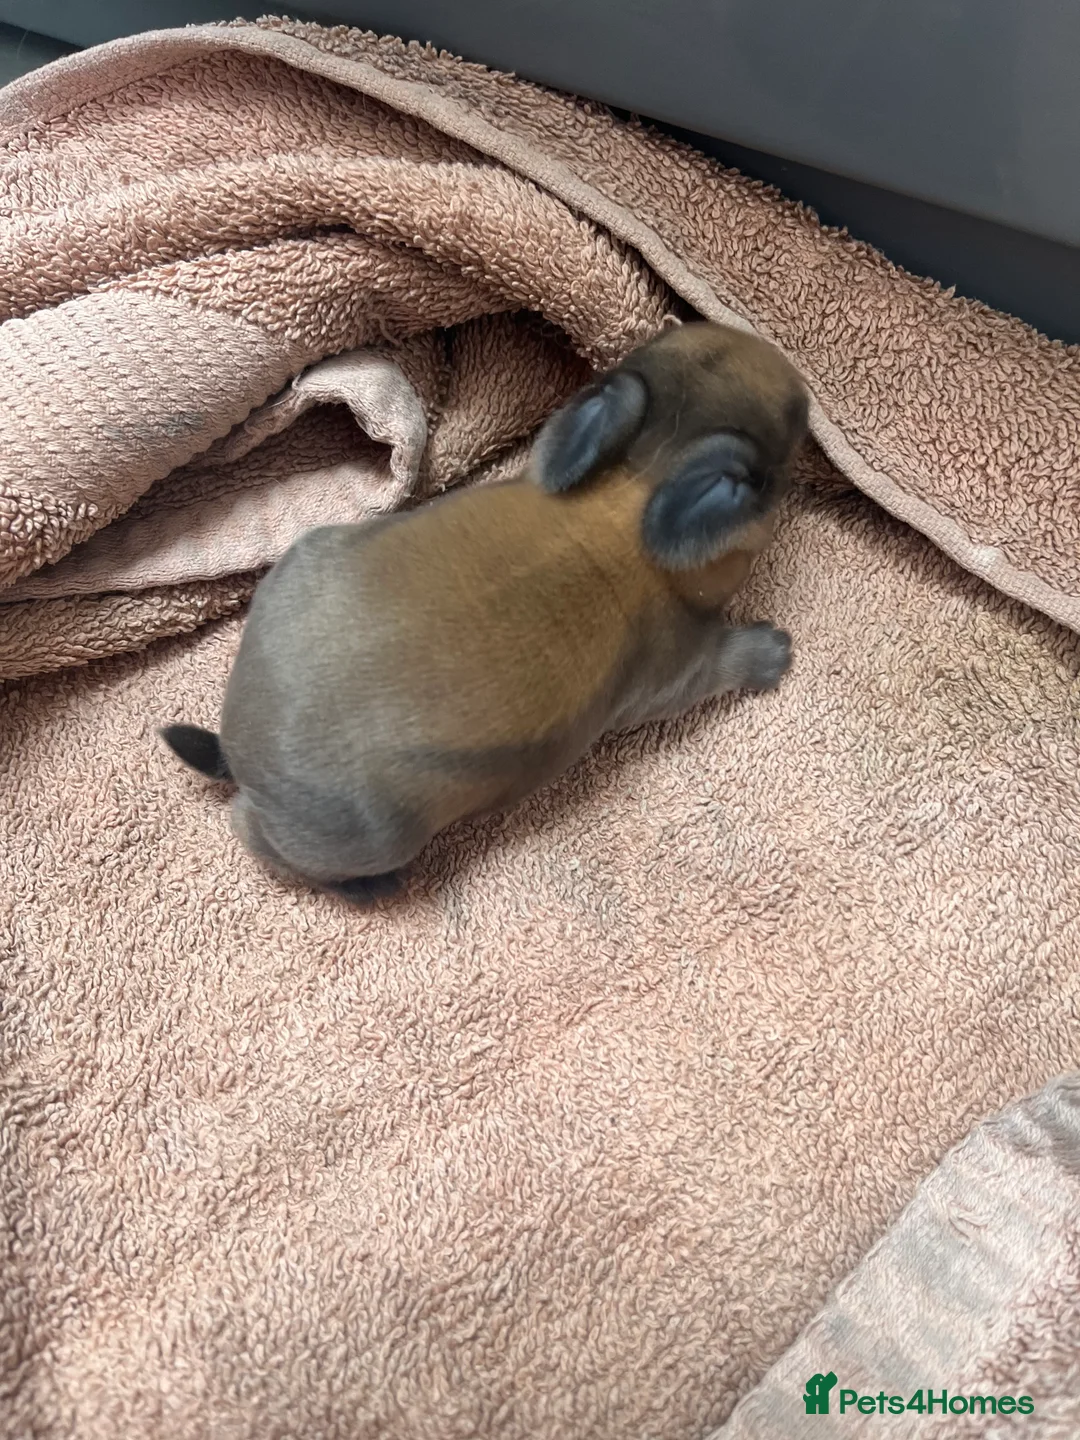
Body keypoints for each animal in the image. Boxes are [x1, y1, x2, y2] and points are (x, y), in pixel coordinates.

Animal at [161, 321, 808, 903]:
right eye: (791, 436)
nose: (804, 392)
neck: (626, 503)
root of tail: (242, 758)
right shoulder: (675, 674)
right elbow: (722, 664)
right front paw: (772, 653)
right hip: (375, 837)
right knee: (254, 836)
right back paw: (370, 888)